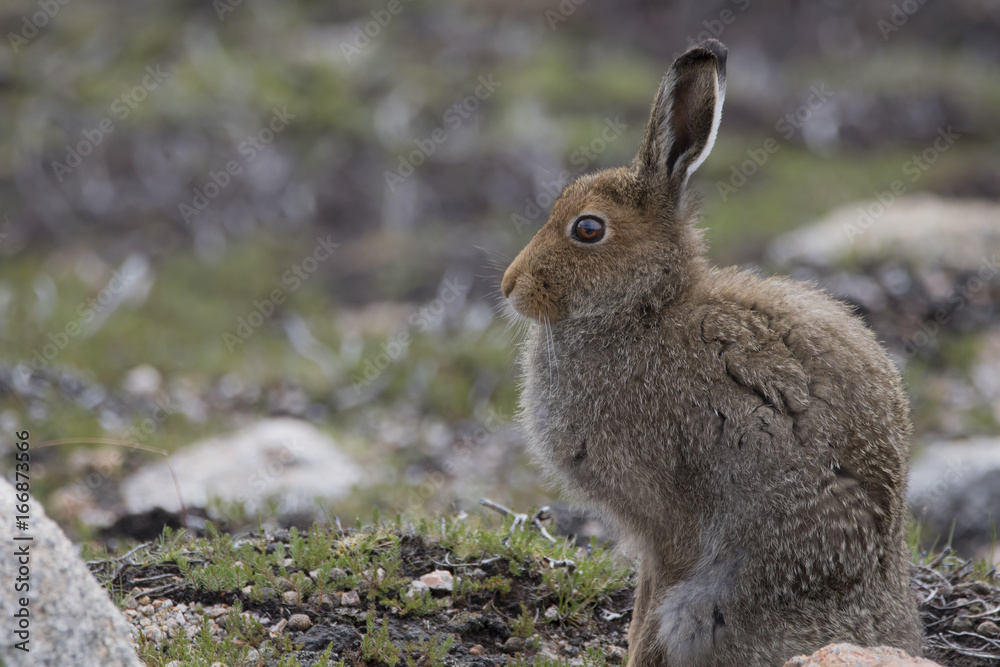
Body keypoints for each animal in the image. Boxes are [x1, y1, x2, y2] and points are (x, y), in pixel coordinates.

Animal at [501, 39, 922, 666]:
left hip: (720, 600)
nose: (510, 285)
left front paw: (636, 658)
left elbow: (648, 605)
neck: (645, 306)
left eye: (588, 230)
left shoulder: (665, 518)